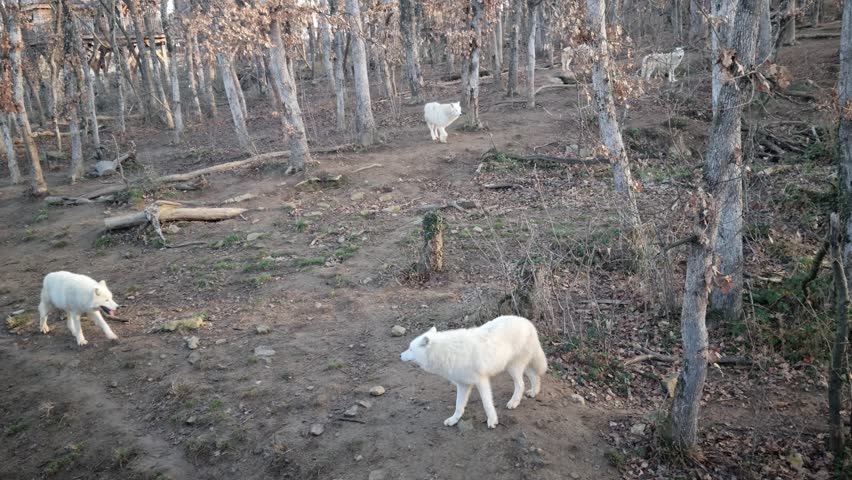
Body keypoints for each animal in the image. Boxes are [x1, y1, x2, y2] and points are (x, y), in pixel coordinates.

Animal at [400, 315, 548, 429]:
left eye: (410, 349)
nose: (400, 355)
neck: (445, 351)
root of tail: (528, 323)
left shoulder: (481, 381)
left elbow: (487, 404)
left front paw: (492, 421)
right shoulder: (463, 385)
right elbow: (459, 406)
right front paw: (454, 420)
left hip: (513, 368)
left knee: (521, 384)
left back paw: (514, 402)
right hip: (520, 366)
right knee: (535, 376)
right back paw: (534, 392)